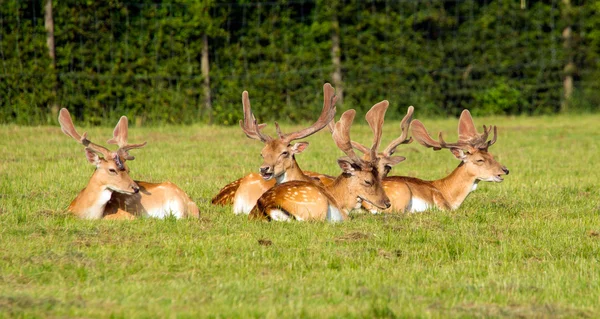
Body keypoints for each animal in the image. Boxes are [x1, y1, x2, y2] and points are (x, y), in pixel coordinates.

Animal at [248, 102, 394, 222]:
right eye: (368, 181)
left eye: (380, 177)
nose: (387, 203)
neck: (340, 199)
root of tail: (267, 206)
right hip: (319, 205)